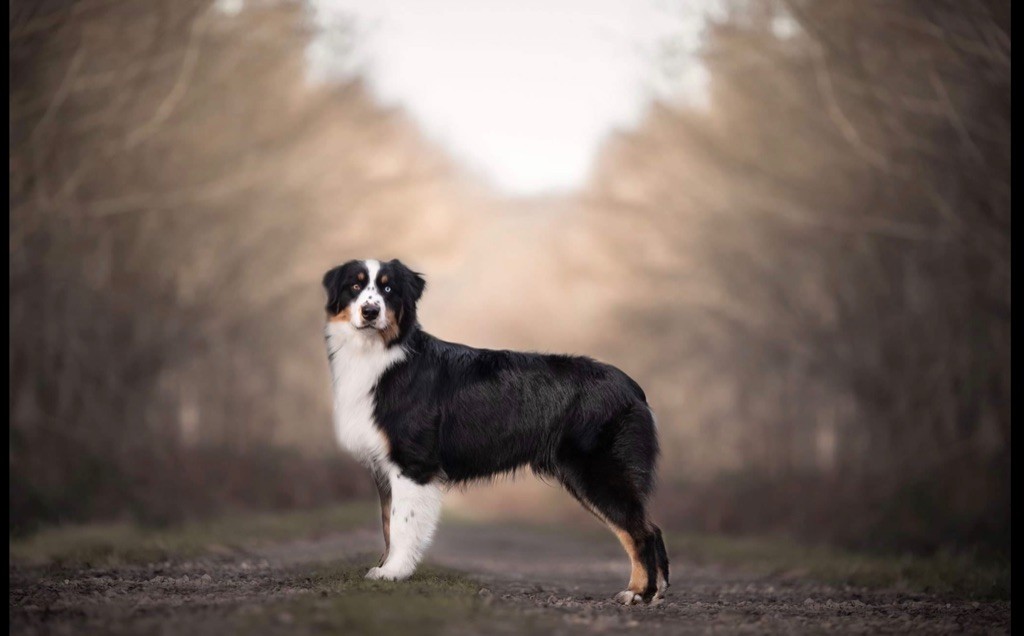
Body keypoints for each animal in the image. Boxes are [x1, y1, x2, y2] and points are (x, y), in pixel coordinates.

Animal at [323, 257, 667, 602]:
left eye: (388, 288)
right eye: (355, 286)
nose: (370, 311)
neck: (380, 355)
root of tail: (634, 389)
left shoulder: (413, 464)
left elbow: (402, 525)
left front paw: (394, 572)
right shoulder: (384, 467)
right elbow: (387, 524)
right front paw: (384, 567)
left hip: (599, 472)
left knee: (641, 531)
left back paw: (637, 592)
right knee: (652, 526)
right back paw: (657, 590)